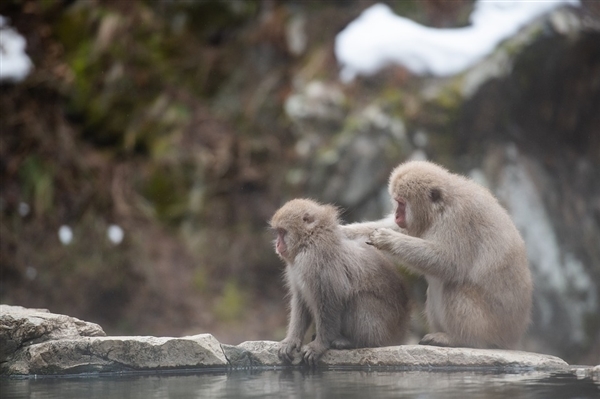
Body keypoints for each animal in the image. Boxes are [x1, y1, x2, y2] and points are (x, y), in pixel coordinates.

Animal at [270, 198, 410, 368]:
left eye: (282, 232)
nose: (277, 244)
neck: (309, 240)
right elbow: (301, 300)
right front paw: (291, 341)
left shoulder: (314, 260)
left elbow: (330, 299)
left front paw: (319, 345)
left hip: (384, 328)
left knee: (359, 299)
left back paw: (355, 342)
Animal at [340, 160, 532, 350]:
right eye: (396, 202)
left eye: (402, 203)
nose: (396, 215)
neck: (441, 209)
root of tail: (513, 338)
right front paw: (344, 231)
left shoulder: (457, 218)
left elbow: (449, 262)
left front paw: (388, 239)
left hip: (491, 328)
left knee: (454, 286)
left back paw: (459, 340)